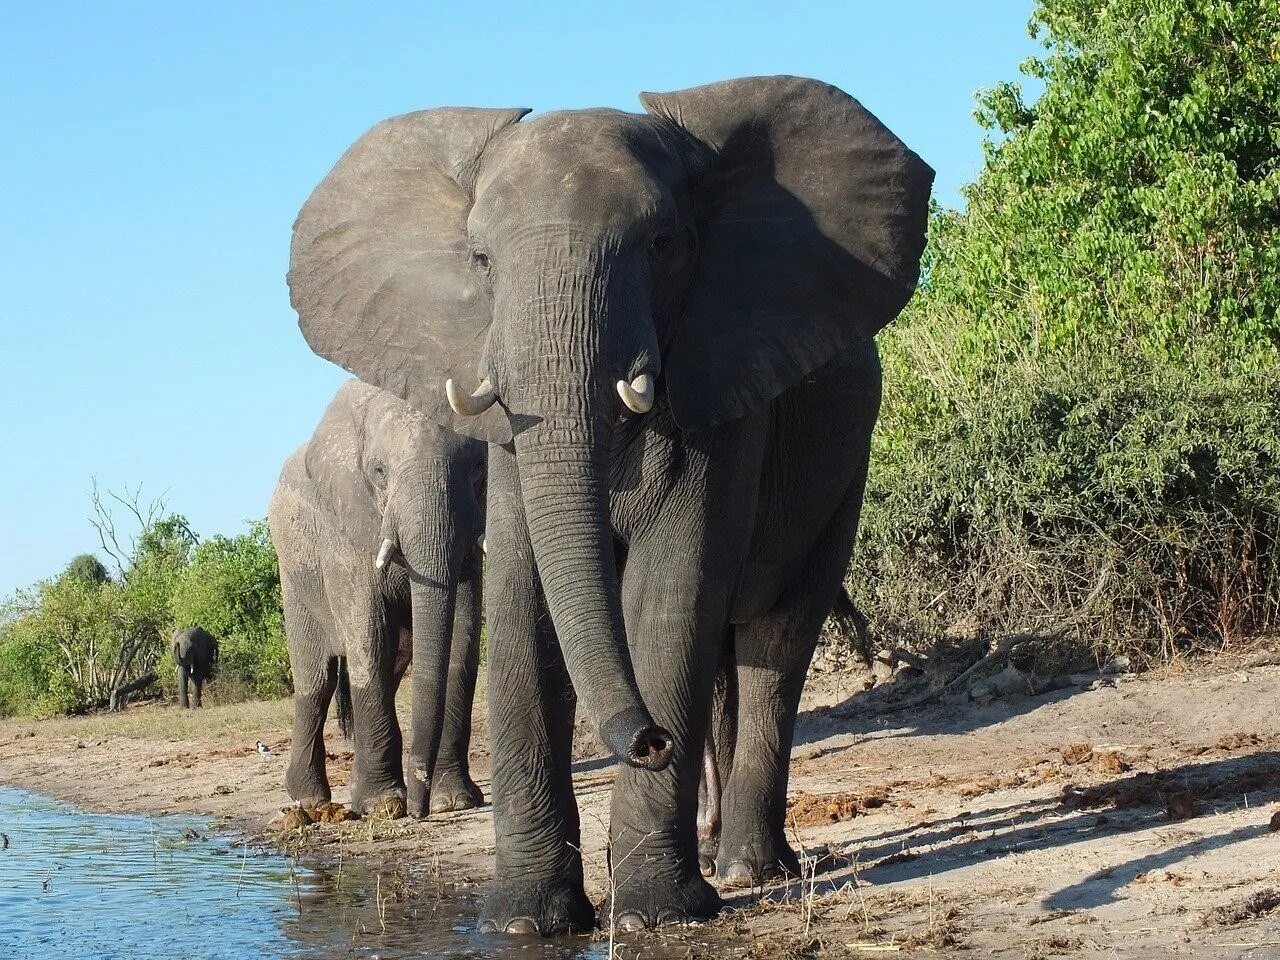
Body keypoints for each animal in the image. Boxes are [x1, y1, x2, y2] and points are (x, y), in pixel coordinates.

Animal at [267, 381, 486, 819]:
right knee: (316, 680)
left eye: (477, 467)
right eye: (379, 472)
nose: (420, 811)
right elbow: (367, 633)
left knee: (391, 666)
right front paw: (383, 806)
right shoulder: (344, 530)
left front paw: (454, 801)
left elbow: (464, 634)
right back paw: (308, 800)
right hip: (294, 573)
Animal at [290, 77, 931, 942]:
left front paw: (655, 916)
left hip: (843, 468)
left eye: (661, 244)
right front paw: (524, 924)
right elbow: (524, 600)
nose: (652, 740)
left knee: (774, 645)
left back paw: (747, 869)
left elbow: (668, 593)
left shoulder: (718, 382)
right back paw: (719, 852)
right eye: (482, 260)